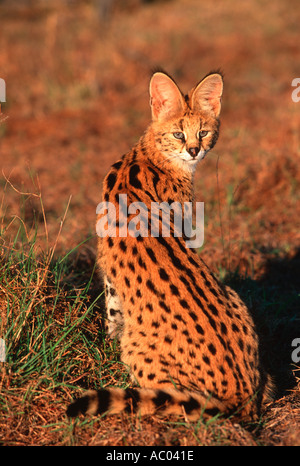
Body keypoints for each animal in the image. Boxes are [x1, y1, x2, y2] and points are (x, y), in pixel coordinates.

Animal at [67, 71, 274, 420]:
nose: (193, 151)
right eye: (178, 133)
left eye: (203, 132)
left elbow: (112, 309)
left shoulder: (109, 266)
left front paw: (107, 342)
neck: (150, 153)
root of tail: (239, 393)